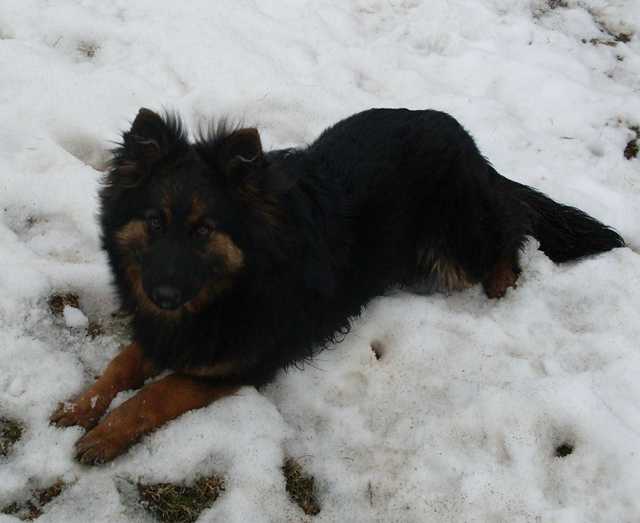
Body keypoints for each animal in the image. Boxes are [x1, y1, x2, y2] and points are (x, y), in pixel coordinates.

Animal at [51, 107, 624, 464]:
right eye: (154, 221)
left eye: (203, 229)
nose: (164, 296)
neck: (236, 281)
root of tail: (464, 138)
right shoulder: (168, 332)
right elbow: (122, 364)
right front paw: (80, 406)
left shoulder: (240, 364)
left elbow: (160, 391)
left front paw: (105, 435)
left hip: (453, 241)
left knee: (510, 230)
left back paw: (503, 282)